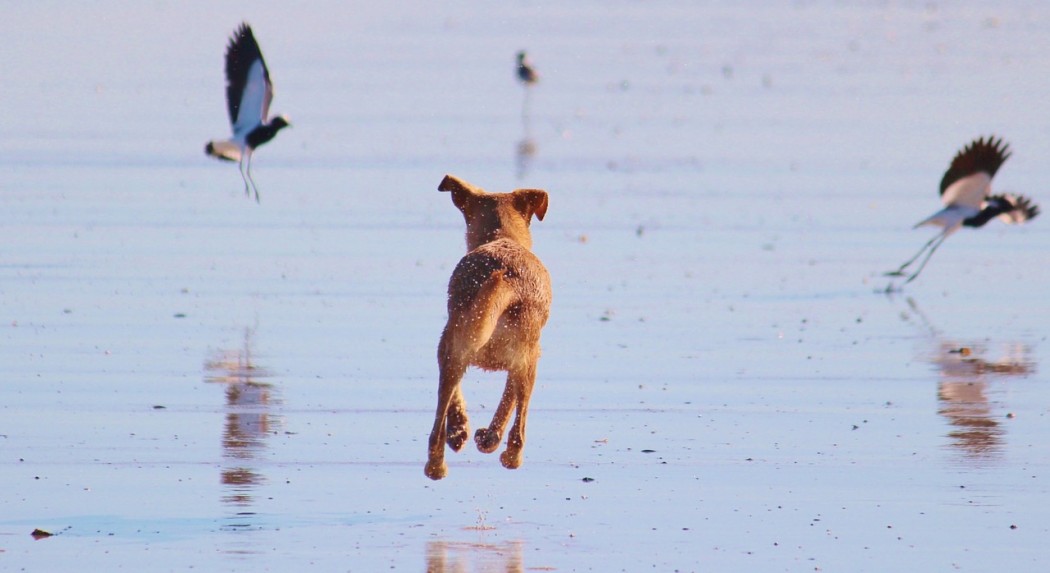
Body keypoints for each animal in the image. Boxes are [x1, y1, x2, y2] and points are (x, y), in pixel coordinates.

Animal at [422, 173, 554, 476]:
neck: (502, 236)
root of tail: (507, 281)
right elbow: (508, 400)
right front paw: (486, 437)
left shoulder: (452, 344)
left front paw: (468, 431)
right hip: (524, 358)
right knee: (518, 431)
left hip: (457, 344)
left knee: (438, 425)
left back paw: (440, 460)